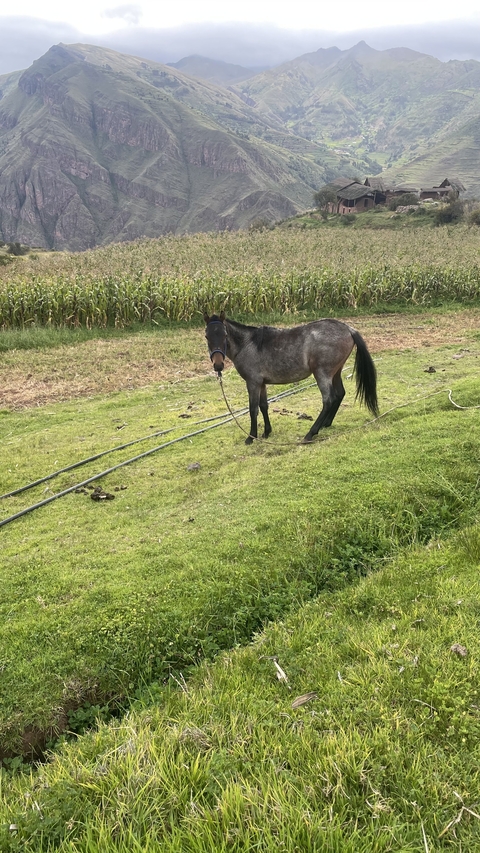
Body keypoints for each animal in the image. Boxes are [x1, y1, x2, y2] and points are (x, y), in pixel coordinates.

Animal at [204, 311, 378, 444]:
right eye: (207, 336)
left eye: (224, 334)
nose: (218, 365)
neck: (248, 344)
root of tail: (348, 329)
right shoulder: (262, 384)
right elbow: (263, 406)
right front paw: (267, 432)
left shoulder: (253, 383)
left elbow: (253, 409)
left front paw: (251, 437)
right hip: (335, 372)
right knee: (340, 393)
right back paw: (326, 424)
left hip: (322, 374)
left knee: (329, 399)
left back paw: (311, 433)